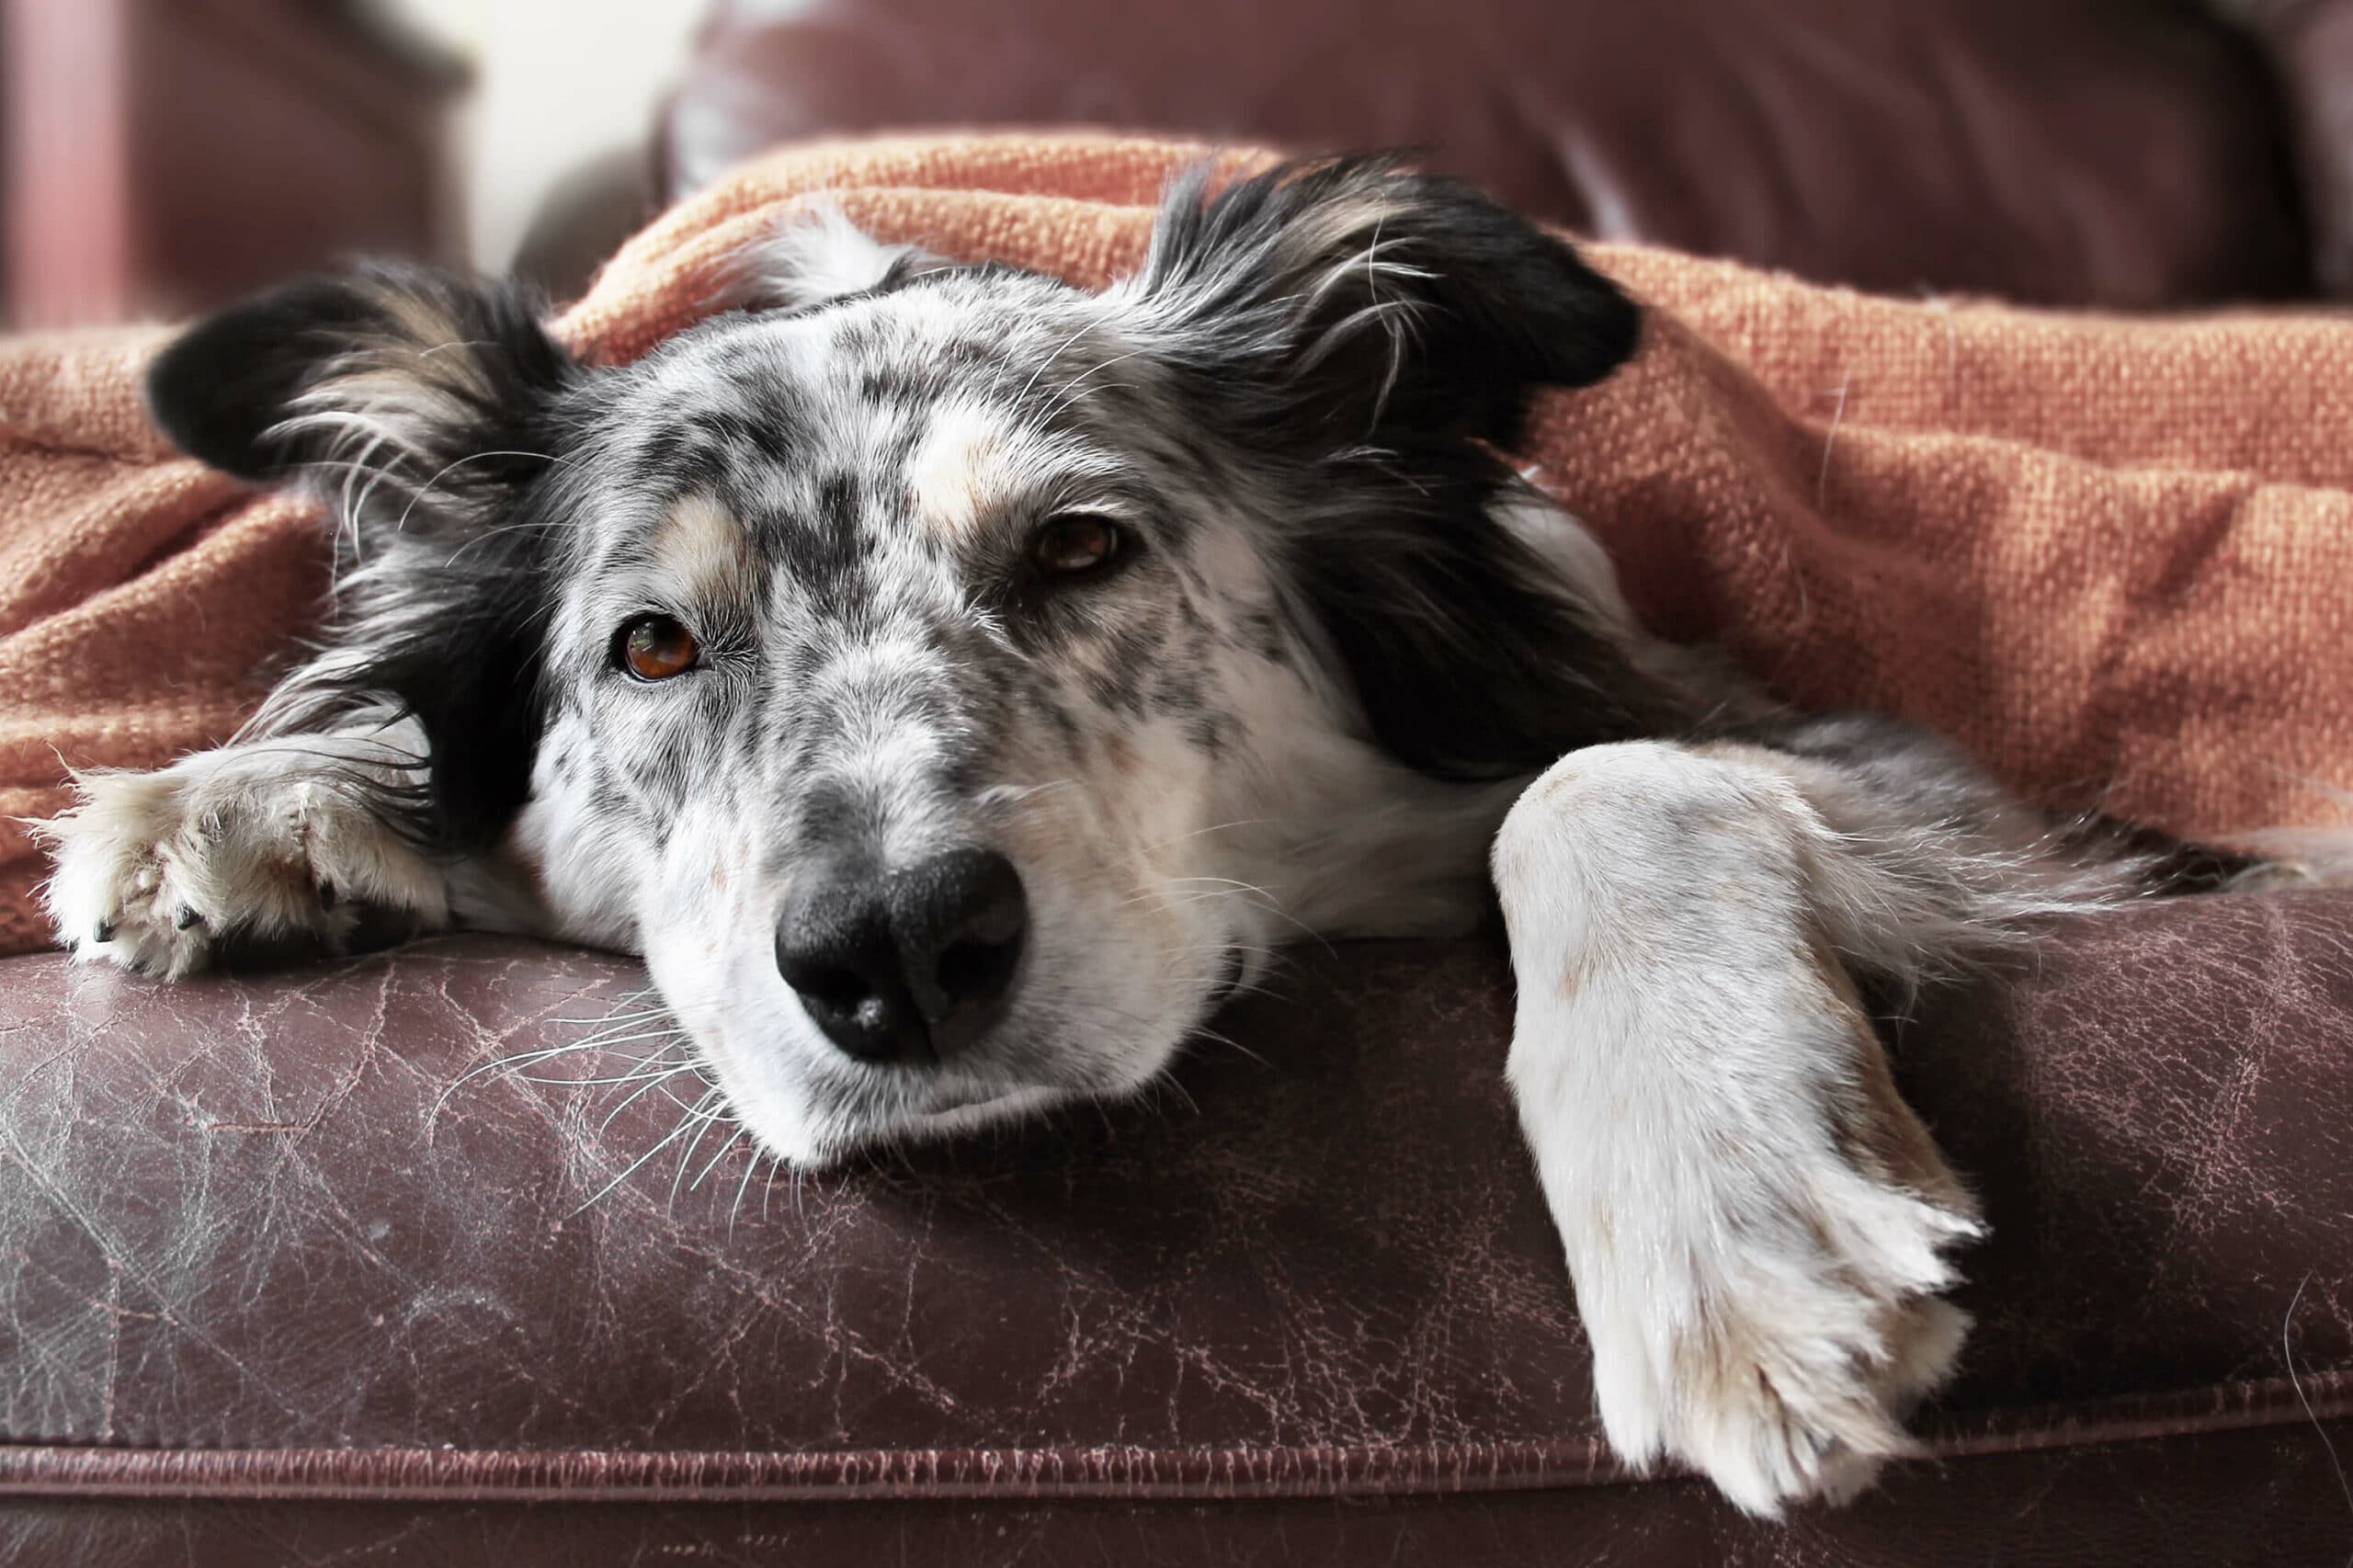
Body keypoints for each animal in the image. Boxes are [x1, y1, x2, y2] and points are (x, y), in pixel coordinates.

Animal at [37, 158, 2334, 1516]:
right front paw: (243, 799)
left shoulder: (1938, 786)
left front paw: (1727, 1221)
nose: (894, 954)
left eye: (1077, 548)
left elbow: (1604, 777)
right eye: (654, 645)